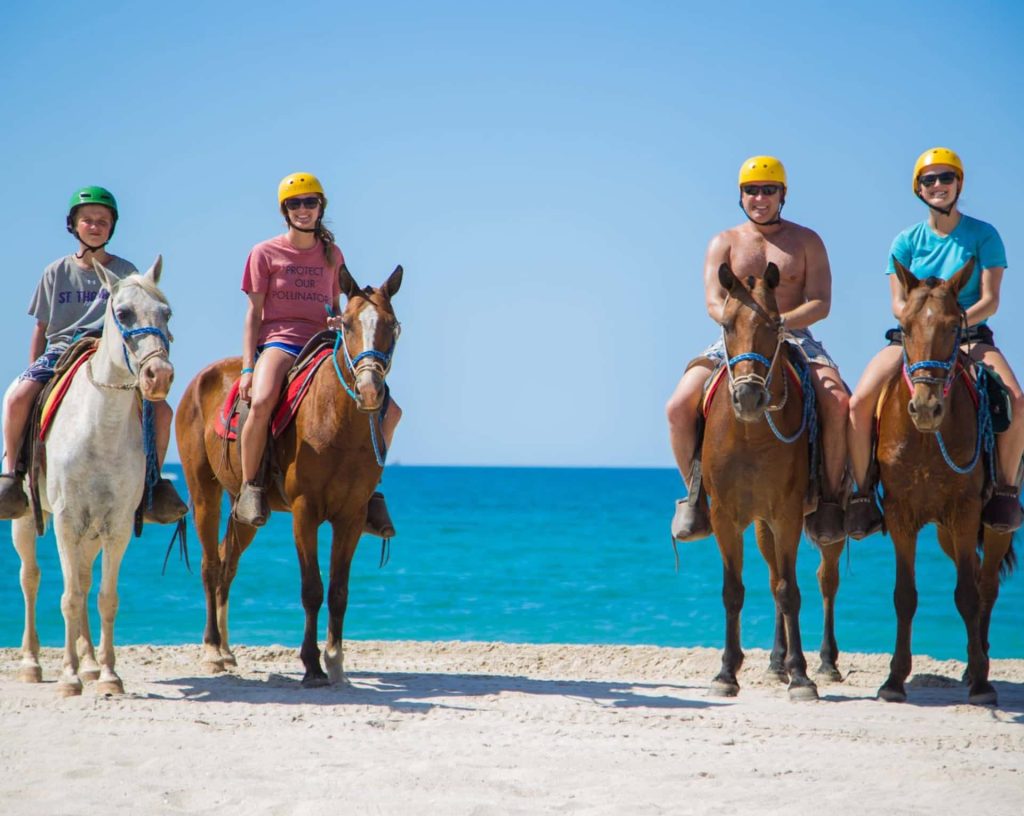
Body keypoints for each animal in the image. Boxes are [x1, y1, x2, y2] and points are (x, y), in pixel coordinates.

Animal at [10, 258, 173, 696]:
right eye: (124, 313)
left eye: (166, 314)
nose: (159, 376)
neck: (102, 426)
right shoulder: (66, 520)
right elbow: (68, 597)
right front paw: (68, 678)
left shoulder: (116, 525)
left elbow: (104, 597)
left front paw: (108, 675)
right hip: (26, 518)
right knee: (30, 578)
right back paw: (33, 664)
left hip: (93, 532)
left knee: (82, 577)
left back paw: (88, 665)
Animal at [175, 264, 402, 687]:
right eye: (347, 324)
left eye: (392, 326)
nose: (369, 390)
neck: (335, 419)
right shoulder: (305, 512)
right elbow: (312, 588)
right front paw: (312, 665)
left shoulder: (351, 516)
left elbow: (339, 590)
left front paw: (336, 662)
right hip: (203, 493)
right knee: (211, 566)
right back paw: (213, 651)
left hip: (244, 510)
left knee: (227, 563)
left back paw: (227, 651)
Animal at [702, 262, 844, 701]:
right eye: (727, 324)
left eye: (774, 324)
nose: (748, 397)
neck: (751, 434)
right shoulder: (726, 518)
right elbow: (735, 591)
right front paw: (726, 673)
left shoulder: (788, 515)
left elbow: (790, 592)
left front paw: (802, 677)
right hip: (763, 526)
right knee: (773, 578)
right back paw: (776, 663)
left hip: (825, 527)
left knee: (825, 580)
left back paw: (826, 663)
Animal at [877, 258, 1016, 705]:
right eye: (903, 327)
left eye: (956, 327)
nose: (926, 408)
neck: (925, 439)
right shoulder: (902, 515)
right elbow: (904, 596)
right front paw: (894, 680)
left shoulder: (966, 512)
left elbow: (968, 596)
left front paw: (982, 684)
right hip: (945, 532)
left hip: (992, 525)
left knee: (985, 586)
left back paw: (979, 666)